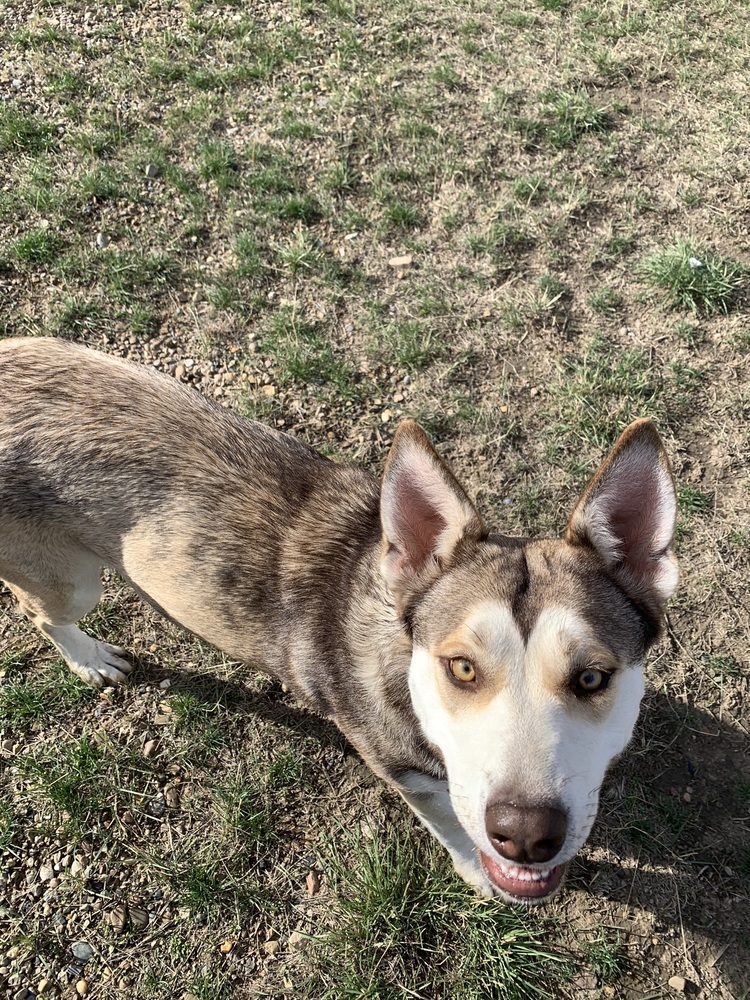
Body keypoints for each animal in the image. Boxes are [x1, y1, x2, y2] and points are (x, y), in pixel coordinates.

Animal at [0, 338, 680, 908]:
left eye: (592, 678)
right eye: (462, 668)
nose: (526, 835)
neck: (398, 654)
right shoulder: (409, 774)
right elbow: (453, 829)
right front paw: (476, 872)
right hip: (71, 582)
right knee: (36, 611)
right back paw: (91, 659)